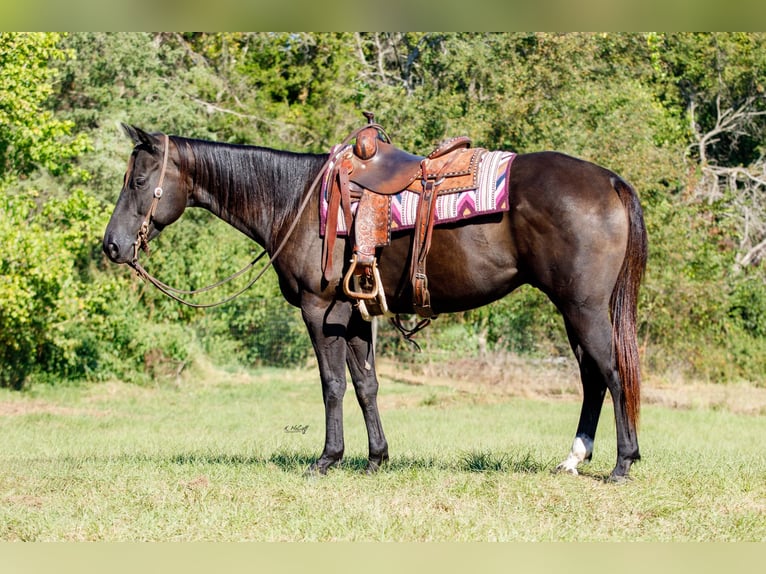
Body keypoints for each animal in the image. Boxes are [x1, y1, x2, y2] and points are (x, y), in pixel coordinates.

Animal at [103, 125, 648, 482]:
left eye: (136, 181)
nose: (112, 246)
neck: (296, 202)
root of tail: (609, 181)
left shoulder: (319, 311)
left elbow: (332, 386)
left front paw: (327, 458)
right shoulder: (354, 314)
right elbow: (366, 386)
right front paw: (376, 458)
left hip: (584, 307)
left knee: (612, 372)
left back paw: (622, 463)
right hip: (573, 310)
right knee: (592, 378)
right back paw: (574, 459)